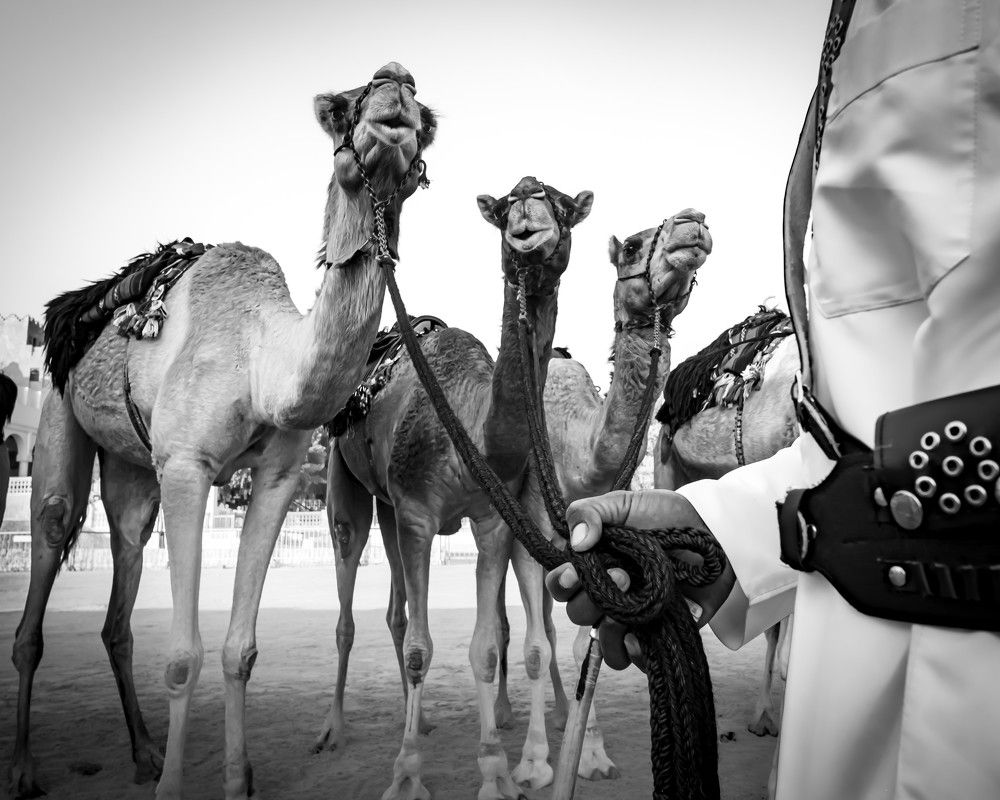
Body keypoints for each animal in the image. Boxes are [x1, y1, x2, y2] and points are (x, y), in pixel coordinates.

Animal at [9, 62, 437, 800]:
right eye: (340, 106)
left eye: (427, 115)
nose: (396, 83)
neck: (262, 357)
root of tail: (68, 311)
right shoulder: (188, 464)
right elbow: (185, 655)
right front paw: (178, 789)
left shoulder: (278, 476)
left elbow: (241, 648)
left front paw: (238, 780)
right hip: (63, 412)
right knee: (54, 532)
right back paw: (27, 768)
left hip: (134, 469)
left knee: (124, 563)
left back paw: (144, 752)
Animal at [312, 175, 594, 800]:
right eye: (507, 207)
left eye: (563, 207)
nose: (530, 223)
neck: (470, 420)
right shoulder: (419, 512)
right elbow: (422, 650)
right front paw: (406, 776)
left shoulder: (489, 521)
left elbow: (484, 648)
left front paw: (495, 771)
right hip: (346, 483)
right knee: (347, 602)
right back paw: (334, 730)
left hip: (389, 507)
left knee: (396, 611)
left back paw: (416, 720)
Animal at [494, 209, 713, 782]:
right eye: (633, 245)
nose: (694, 222)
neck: (577, 454)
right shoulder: (533, 536)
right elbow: (534, 648)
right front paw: (534, 765)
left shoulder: (591, 546)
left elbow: (580, 641)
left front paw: (589, 754)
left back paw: (558, 712)